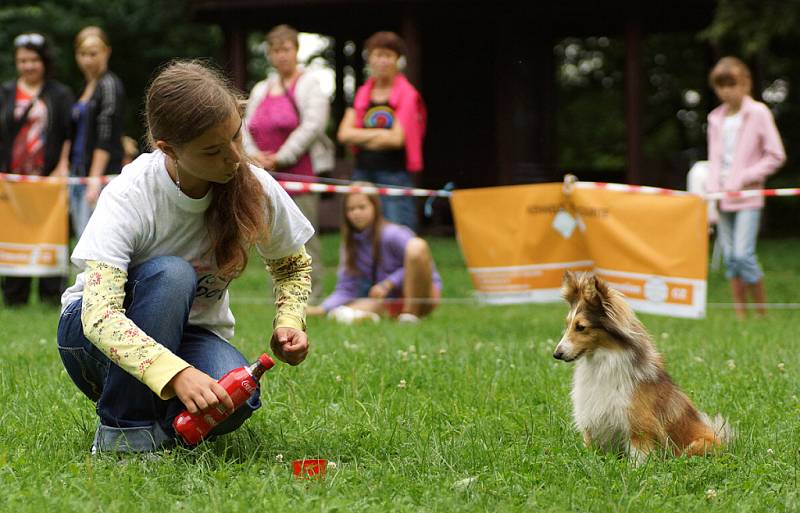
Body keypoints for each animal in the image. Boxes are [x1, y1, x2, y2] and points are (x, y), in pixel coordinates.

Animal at [552, 272, 736, 460]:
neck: (602, 361)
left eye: (581, 327)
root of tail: (719, 435)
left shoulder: (639, 427)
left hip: (698, 444)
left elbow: (638, 457)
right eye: (567, 324)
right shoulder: (592, 421)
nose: (556, 354)